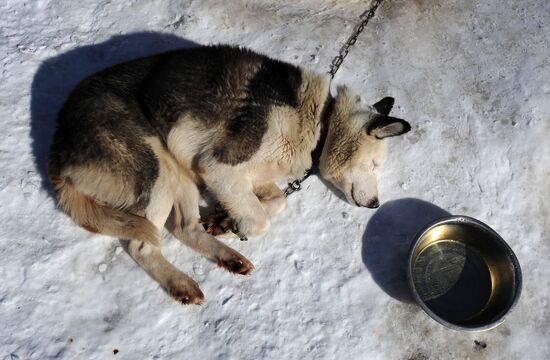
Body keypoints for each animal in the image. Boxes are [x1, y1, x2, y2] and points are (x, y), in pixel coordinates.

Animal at [48, 45, 410, 304]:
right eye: (374, 165)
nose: (376, 204)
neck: (320, 120)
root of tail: (58, 145)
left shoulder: (246, 176)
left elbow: (275, 201)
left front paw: (225, 221)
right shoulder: (218, 166)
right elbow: (261, 220)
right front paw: (240, 226)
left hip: (180, 172)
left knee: (184, 228)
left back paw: (228, 257)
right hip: (157, 169)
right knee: (142, 247)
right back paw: (182, 284)